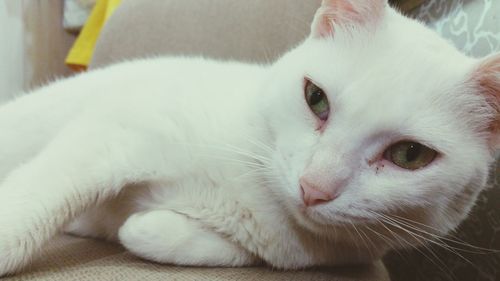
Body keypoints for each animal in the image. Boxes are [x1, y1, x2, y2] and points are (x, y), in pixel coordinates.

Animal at [0, 0, 500, 276]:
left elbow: (189, 242)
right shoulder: (115, 132)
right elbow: (36, 202)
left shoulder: (295, 255)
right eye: (316, 98)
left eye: (410, 155)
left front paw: (147, 228)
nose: (314, 188)